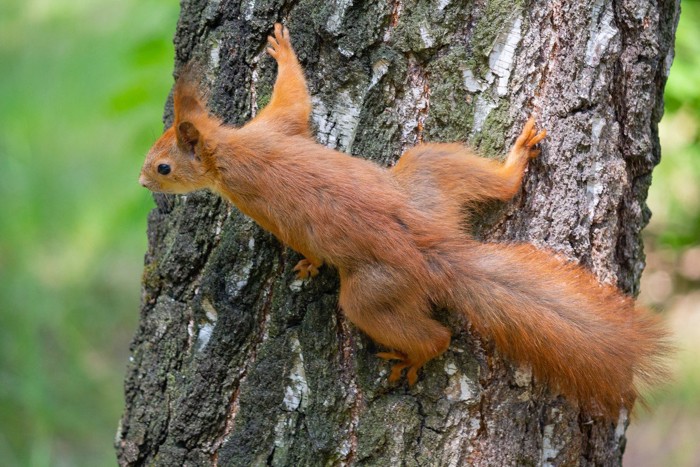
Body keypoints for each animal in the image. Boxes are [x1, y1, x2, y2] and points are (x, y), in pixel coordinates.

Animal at [139, 23, 668, 418]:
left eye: (163, 166)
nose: (143, 182)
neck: (230, 150)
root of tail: (432, 252)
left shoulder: (259, 195)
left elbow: (298, 224)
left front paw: (308, 264)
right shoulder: (277, 127)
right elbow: (295, 100)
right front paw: (284, 52)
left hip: (373, 293)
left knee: (432, 334)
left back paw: (412, 356)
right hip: (428, 176)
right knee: (488, 183)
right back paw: (513, 165)